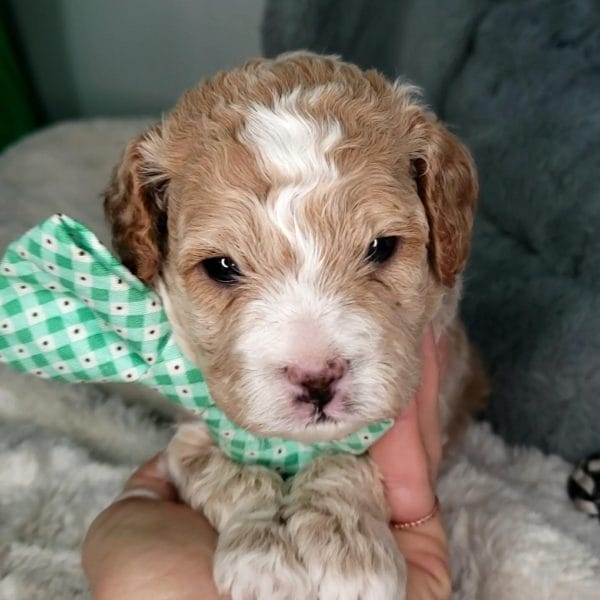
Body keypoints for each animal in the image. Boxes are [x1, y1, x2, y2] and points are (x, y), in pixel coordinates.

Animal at [104, 51, 482, 600]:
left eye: (382, 247)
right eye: (221, 266)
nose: (317, 379)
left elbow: (348, 458)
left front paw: (349, 554)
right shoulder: (198, 419)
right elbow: (223, 468)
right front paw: (263, 556)